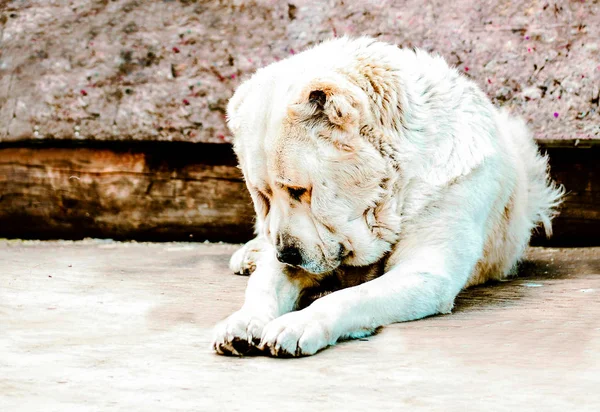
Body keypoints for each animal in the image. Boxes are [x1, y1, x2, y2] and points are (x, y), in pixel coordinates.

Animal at [211, 37, 564, 356]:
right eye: (264, 195)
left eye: (299, 190)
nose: (287, 254)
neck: (394, 192)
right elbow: (266, 286)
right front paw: (243, 322)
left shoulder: (426, 267)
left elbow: (352, 296)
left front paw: (297, 325)